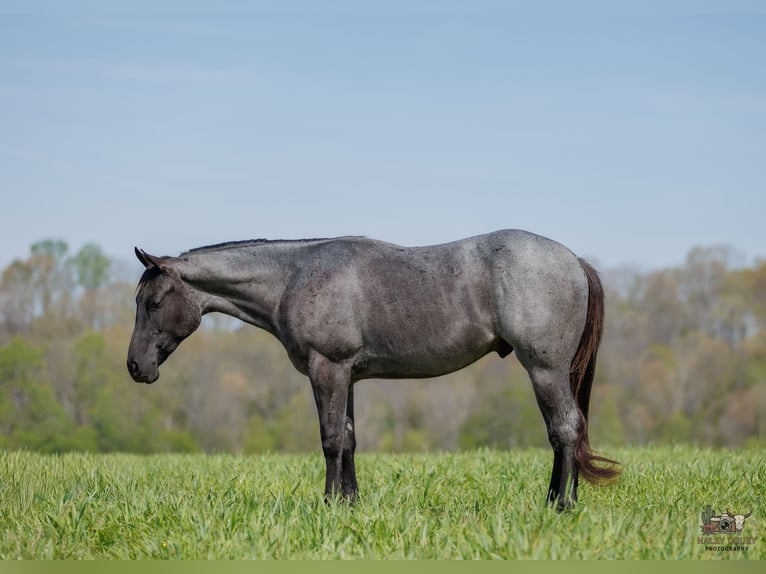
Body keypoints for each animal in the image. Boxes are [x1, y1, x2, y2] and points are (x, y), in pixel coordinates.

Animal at [127, 229, 621, 509]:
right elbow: (348, 438)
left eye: (153, 302)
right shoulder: (346, 375)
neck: (294, 276)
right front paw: (350, 505)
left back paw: (560, 504)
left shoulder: (327, 369)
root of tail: (574, 261)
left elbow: (329, 439)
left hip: (545, 370)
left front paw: (328, 506)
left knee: (565, 429)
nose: (135, 366)